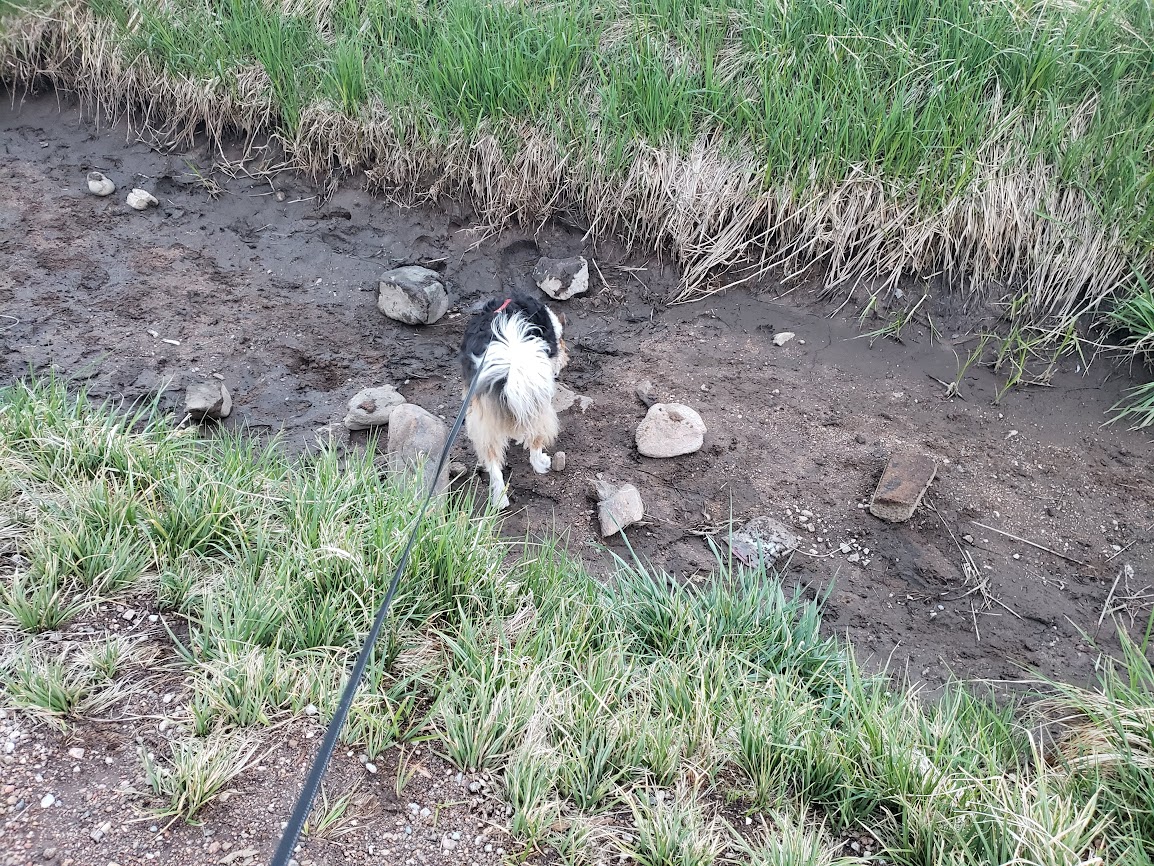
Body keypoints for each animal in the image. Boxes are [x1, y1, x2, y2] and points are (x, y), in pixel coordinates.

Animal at [459, 292, 569, 509]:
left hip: (484, 420)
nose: (564, 360)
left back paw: (500, 499)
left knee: (493, 461)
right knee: (535, 440)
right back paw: (541, 463)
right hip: (540, 407)